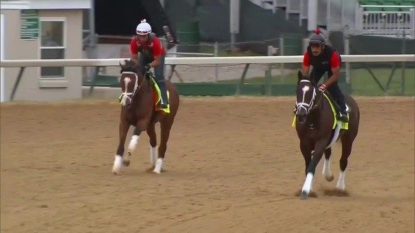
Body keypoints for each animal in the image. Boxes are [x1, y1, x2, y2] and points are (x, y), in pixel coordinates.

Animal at [292, 70, 360, 199]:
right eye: (297, 91)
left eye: (311, 92)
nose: (301, 114)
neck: (312, 119)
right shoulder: (304, 142)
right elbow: (309, 164)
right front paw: (310, 189)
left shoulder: (321, 140)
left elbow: (312, 164)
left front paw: (306, 190)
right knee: (328, 152)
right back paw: (328, 175)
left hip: (348, 139)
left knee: (343, 160)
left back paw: (340, 188)